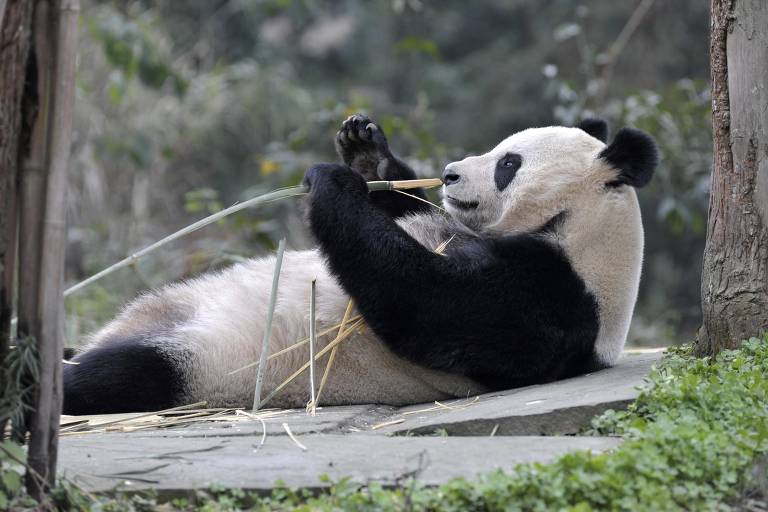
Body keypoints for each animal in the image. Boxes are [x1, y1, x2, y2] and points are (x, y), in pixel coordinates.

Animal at [63, 114, 656, 414]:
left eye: (508, 164)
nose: (450, 173)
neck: (581, 233)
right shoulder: (457, 229)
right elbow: (404, 211)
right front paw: (365, 151)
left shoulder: (551, 299)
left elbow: (426, 305)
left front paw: (333, 182)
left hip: (209, 361)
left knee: (120, 375)